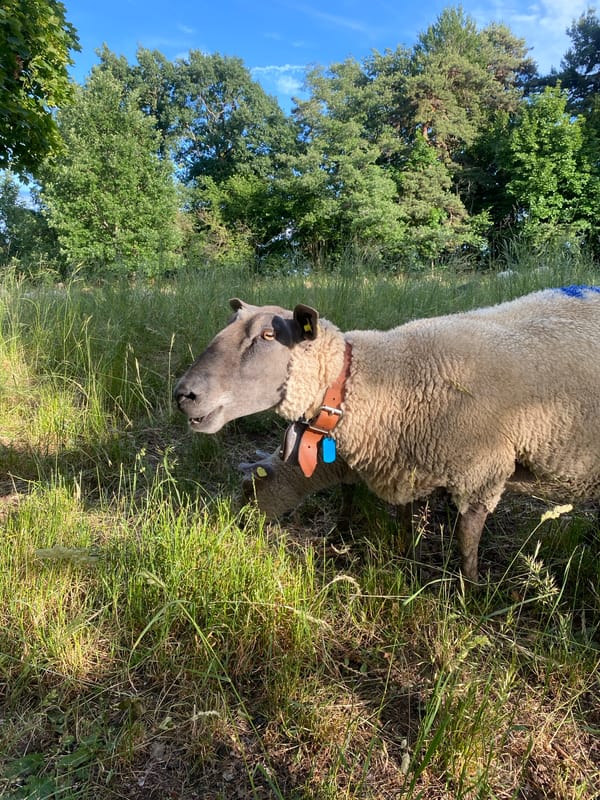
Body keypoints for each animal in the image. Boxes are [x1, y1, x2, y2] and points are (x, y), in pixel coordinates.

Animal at [174, 285, 600, 582]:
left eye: (267, 336)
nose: (183, 395)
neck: (382, 377)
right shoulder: (402, 464)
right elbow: (402, 519)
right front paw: (405, 560)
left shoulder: (480, 470)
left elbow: (467, 540)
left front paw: (471, 592)